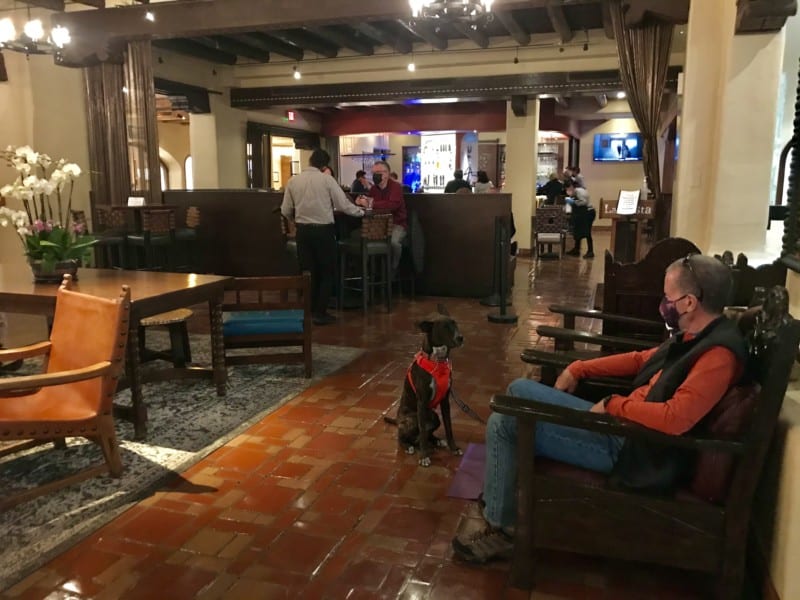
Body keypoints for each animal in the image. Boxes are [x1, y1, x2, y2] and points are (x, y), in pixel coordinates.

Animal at [386, 304, 466, 468]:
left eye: (454, 323)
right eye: (444, 327)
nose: (460, 337)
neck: (438, 362)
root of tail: (398, 420)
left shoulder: (445, 402)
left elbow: (449, 427)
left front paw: (453, 448)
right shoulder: (422, 403)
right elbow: (423, 431)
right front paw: (424, 456)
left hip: (434, 416)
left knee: (427, 433)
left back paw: (436, 441)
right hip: (413, 418)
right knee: (404, 437)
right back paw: (409, 446)